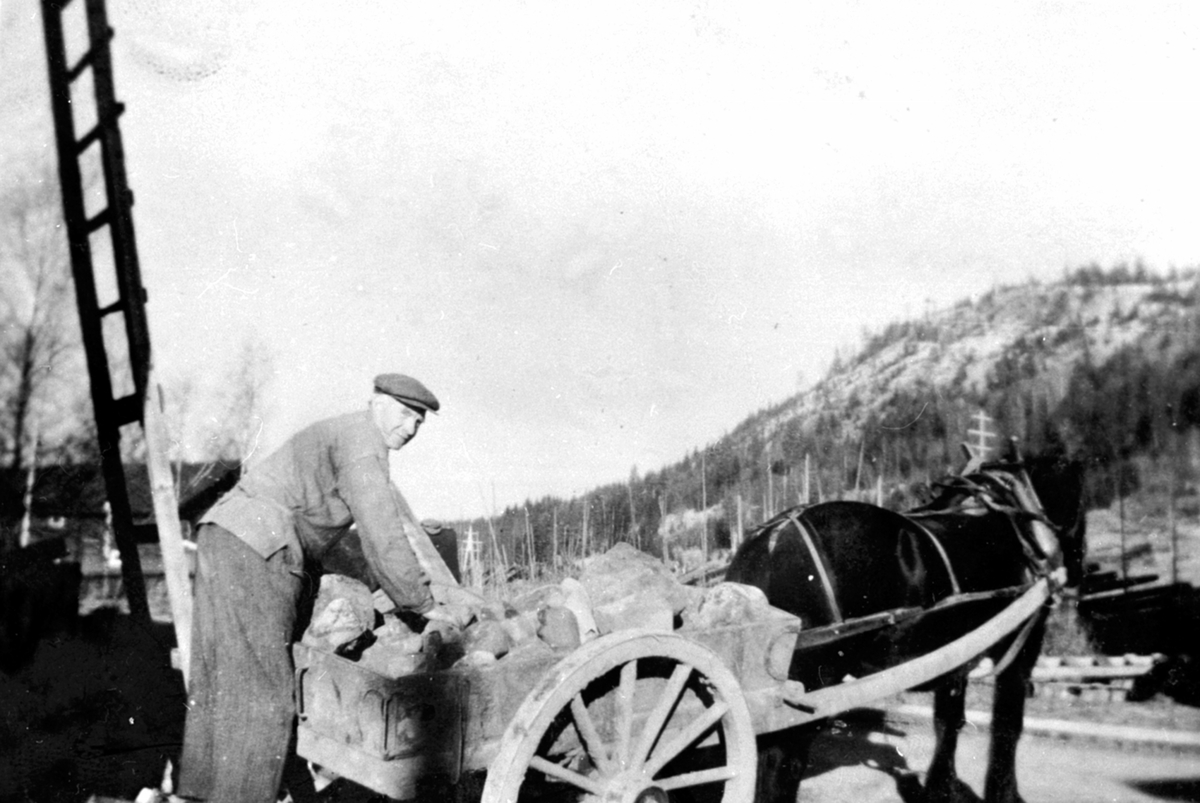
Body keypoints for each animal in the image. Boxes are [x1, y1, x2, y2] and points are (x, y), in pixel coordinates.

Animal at [724, 451, 1094, 801]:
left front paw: (941, 788)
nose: (1076, 573)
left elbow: (949, 722)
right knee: (781, 765)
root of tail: (769, 540)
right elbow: (1007, 724)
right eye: (1081, 506)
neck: (1014, 523)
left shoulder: (955, 656)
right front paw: (1004, 793)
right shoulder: (1021, 647)